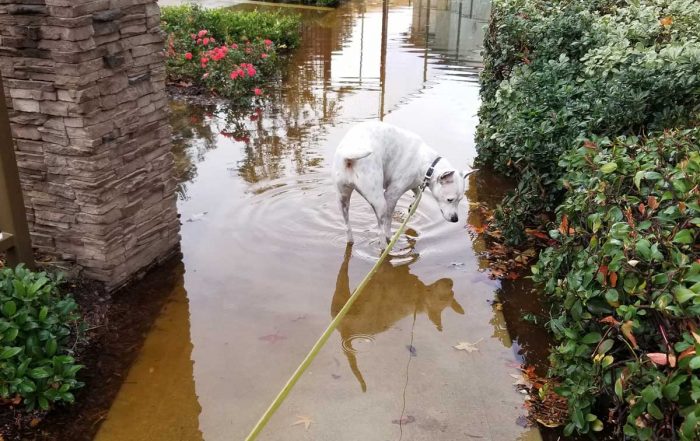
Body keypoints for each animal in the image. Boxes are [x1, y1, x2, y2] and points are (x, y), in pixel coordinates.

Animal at [334, 120, 476, 244]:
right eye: (450, 200)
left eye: (460, 200)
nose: (455, 219)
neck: (428, 164)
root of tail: (349, 159)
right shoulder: (391, 195)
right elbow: (388, 221)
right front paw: (390, 234)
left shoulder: (414, 183)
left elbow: (418, 195)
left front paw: (412, 207)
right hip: (380, 202)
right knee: (380, 232)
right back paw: (386, 246)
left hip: (343, 200)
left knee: (347, 226)